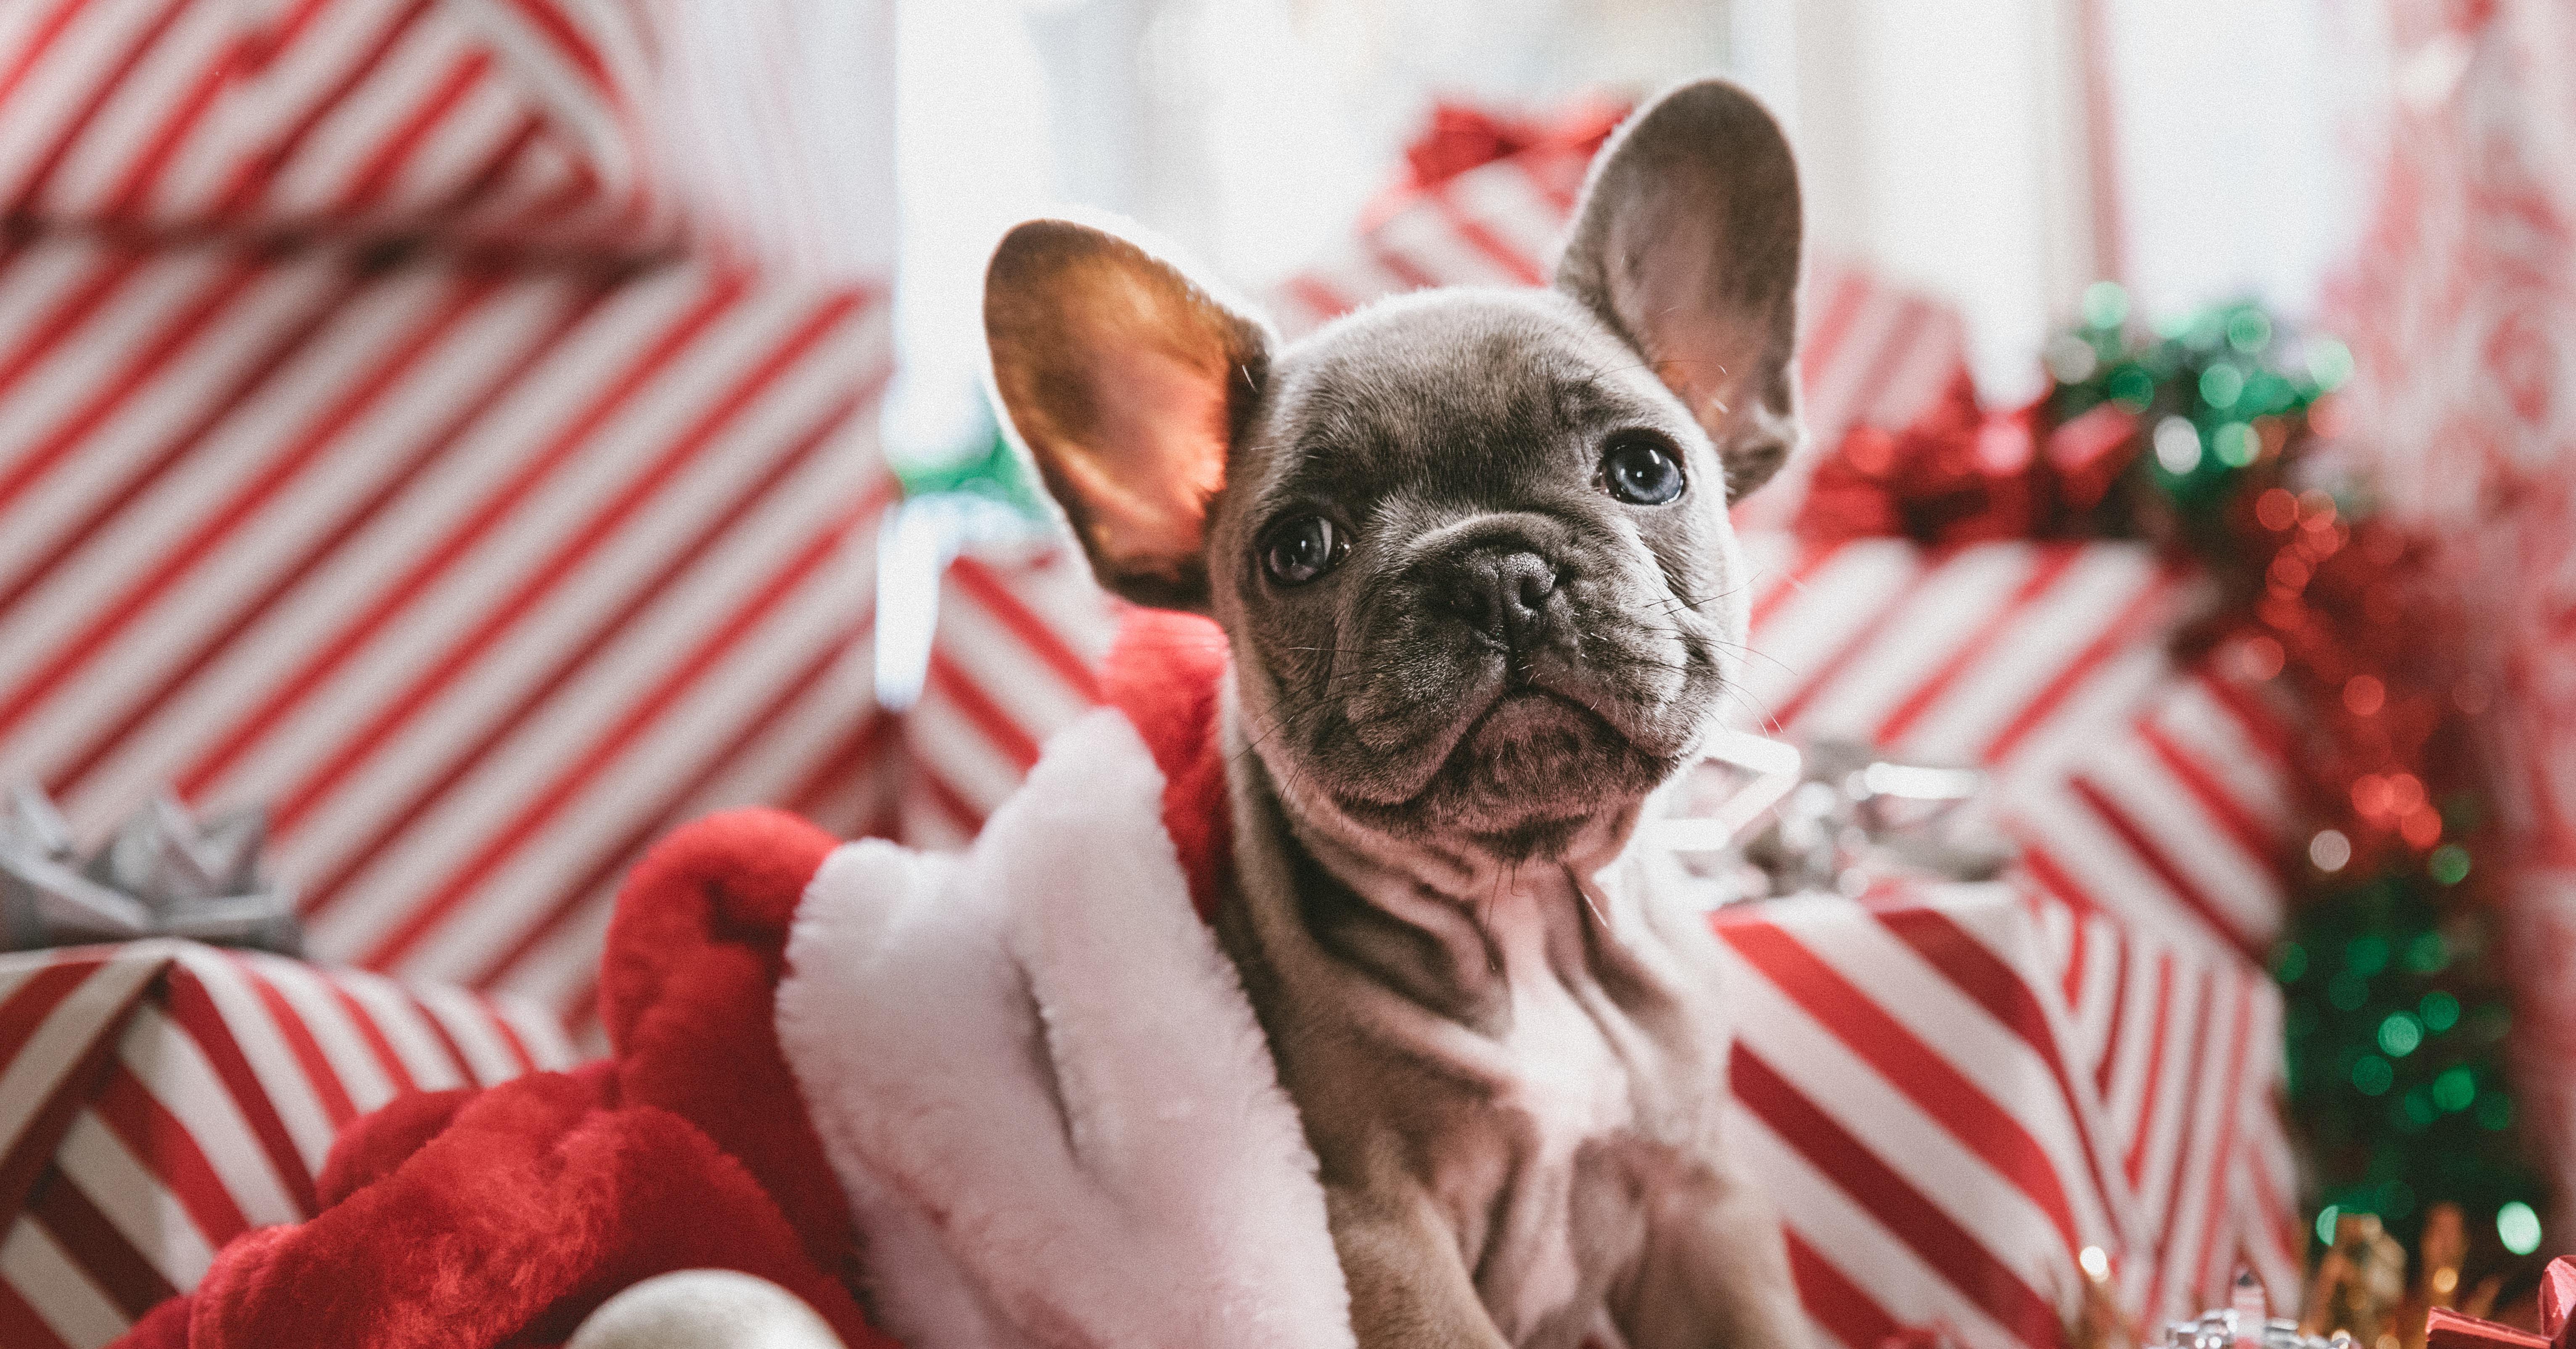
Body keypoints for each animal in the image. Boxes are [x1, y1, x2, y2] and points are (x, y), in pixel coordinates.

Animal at [984, 79, 1813, 1349]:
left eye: (1644, 470)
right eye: (1298, 548)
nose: (1494, 571)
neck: (1525, 908)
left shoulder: (1698, 1198)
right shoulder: (1377, 1235)